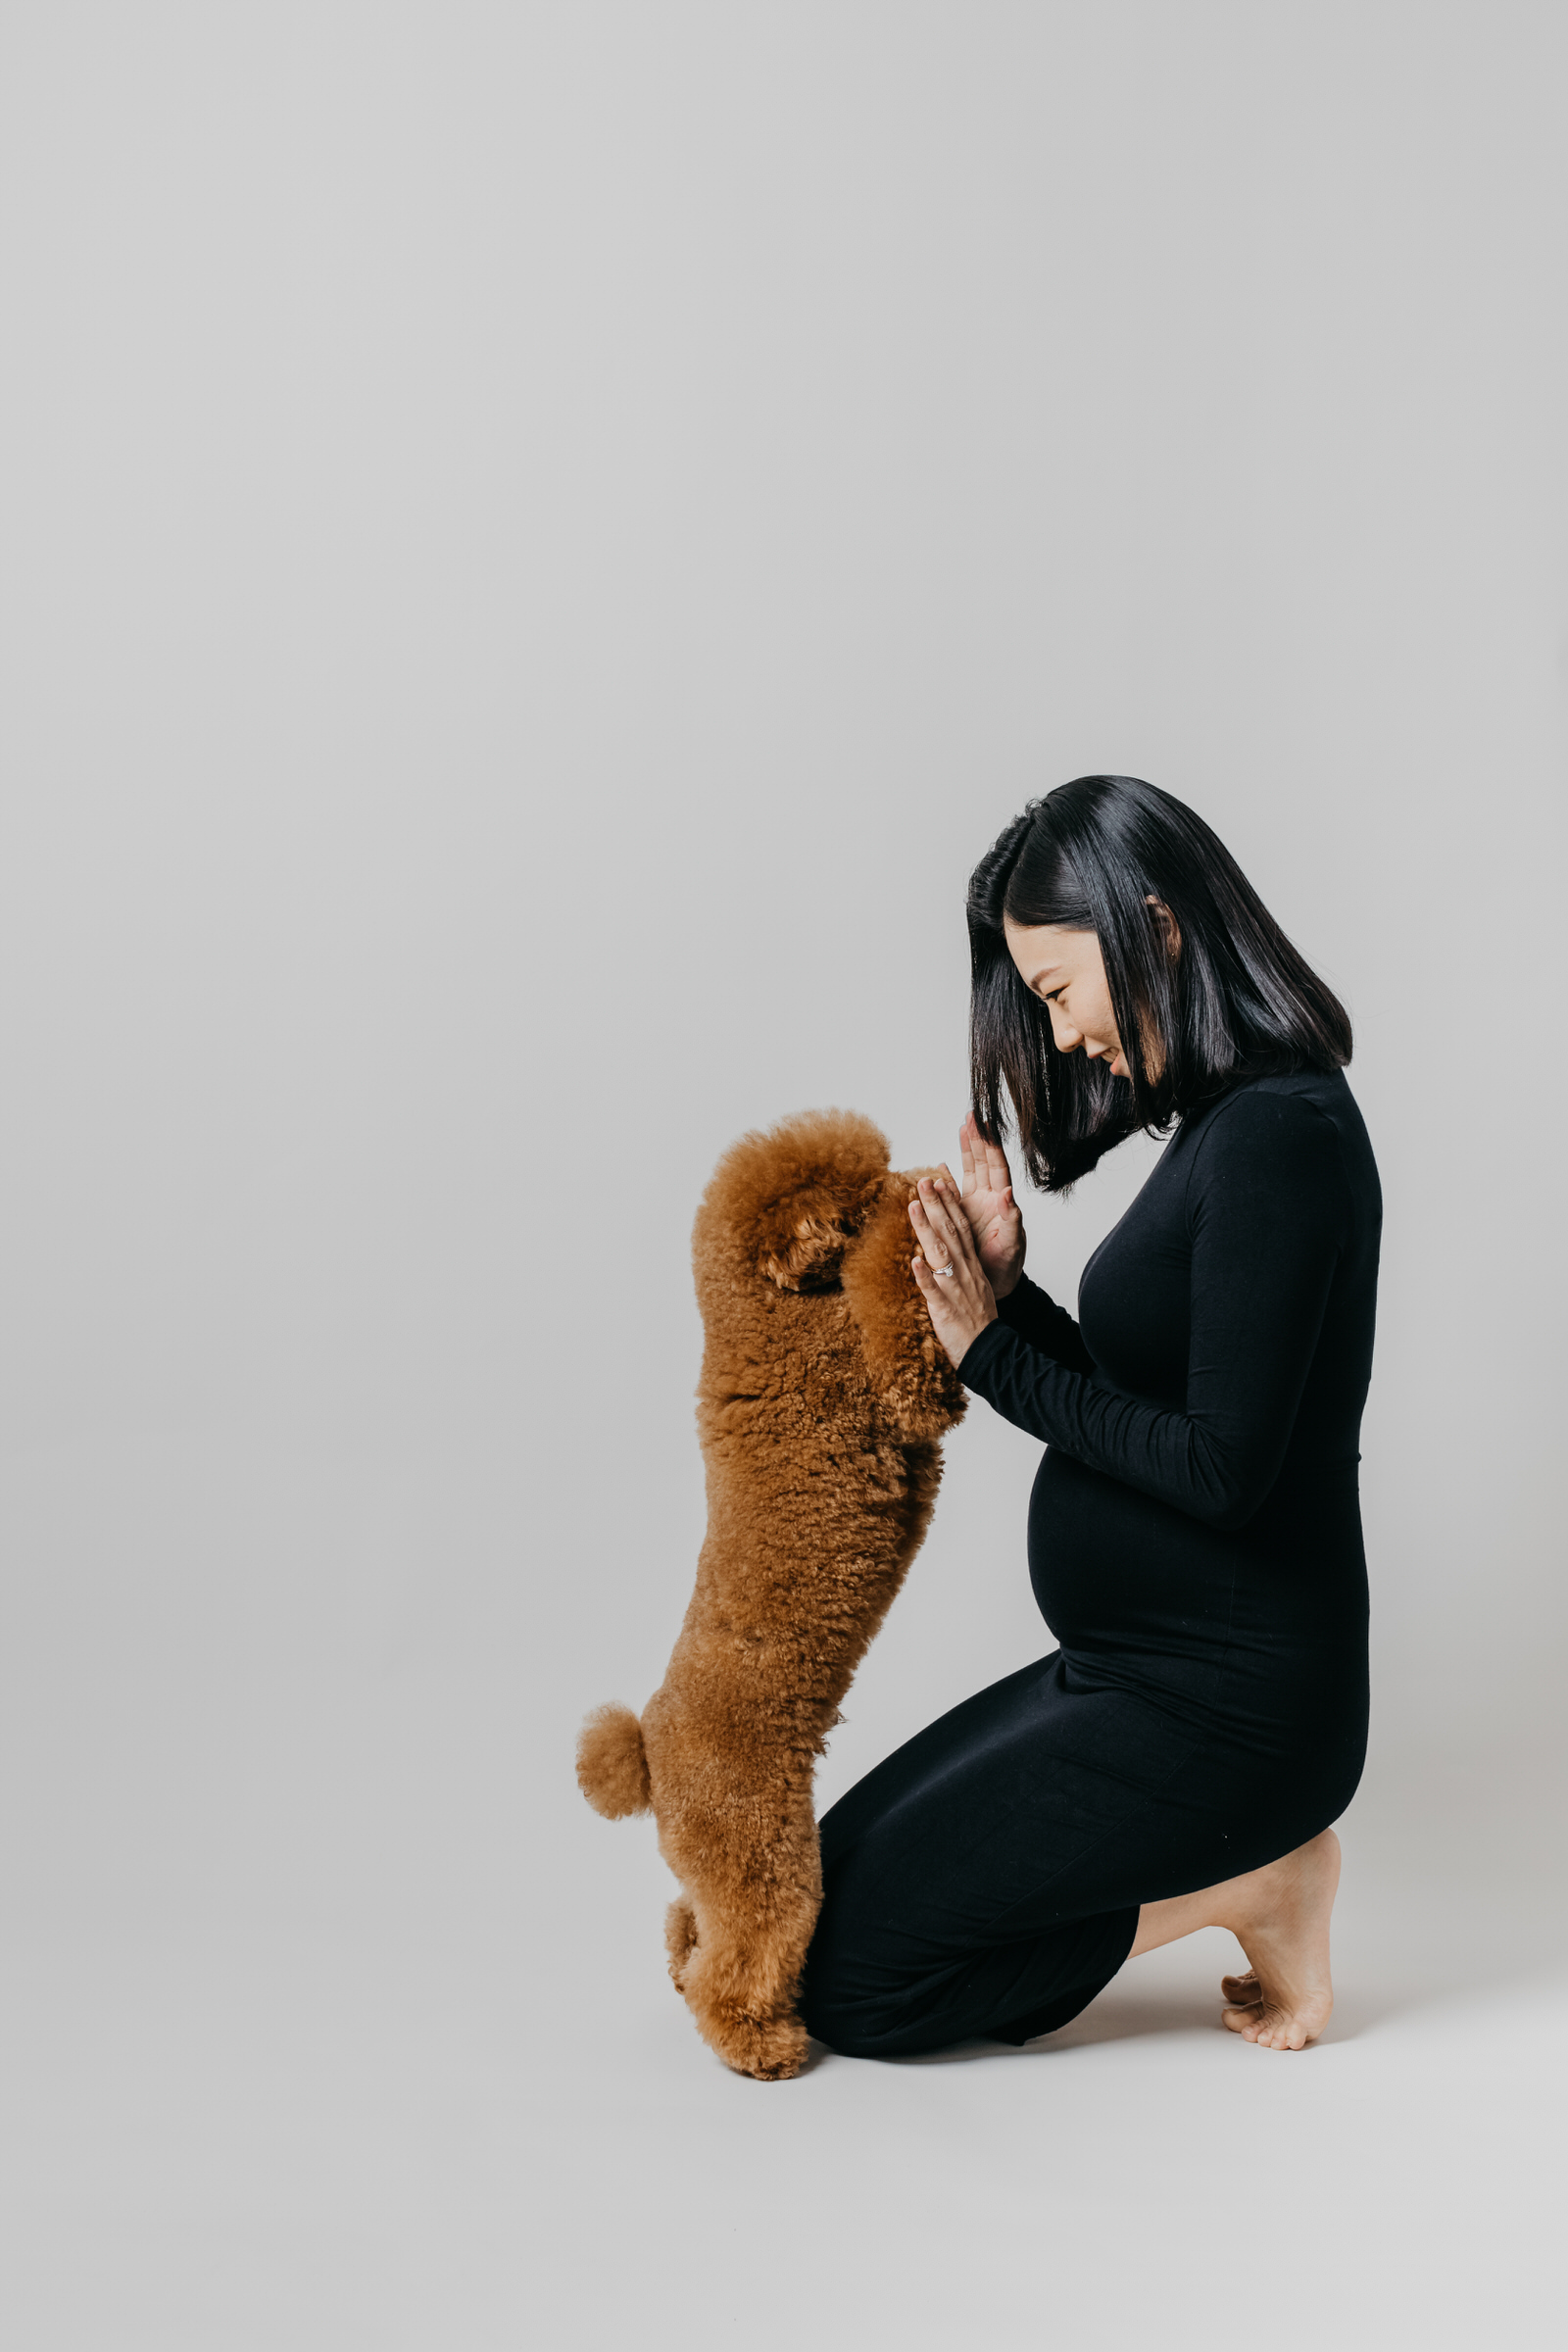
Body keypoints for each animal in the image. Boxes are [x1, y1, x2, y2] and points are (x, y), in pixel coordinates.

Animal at [580, 1105, 968, 2079]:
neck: (761, 1307)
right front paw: (925, 1215)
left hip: (723, 1865)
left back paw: (686, 1969)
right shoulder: (879, 1378)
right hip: (766, 1857)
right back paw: (762, 2044)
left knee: (692, 1928)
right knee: (744, 1954)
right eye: (856, 1195)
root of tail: (650, 1753)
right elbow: (904, 1335)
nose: (911, 1172)